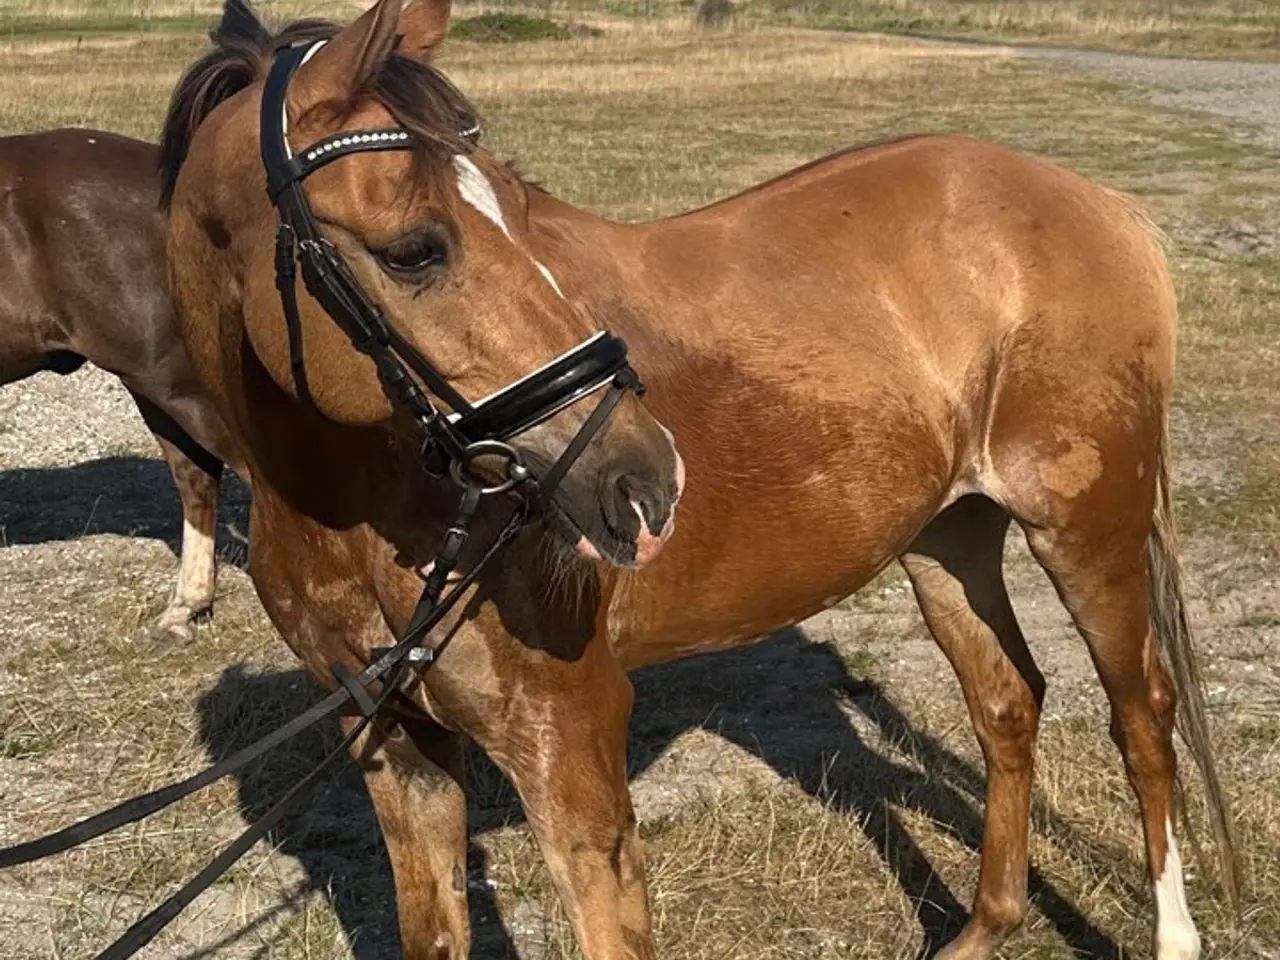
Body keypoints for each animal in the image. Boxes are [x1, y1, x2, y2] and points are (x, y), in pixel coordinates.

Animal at [159, 1, 1238, 958]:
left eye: (517, 206)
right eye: (415, 249)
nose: (642, 476)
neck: (365, 502)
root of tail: (1097, 203)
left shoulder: (570, 751)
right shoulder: (395, 746)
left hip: (1086, 533)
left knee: (1141, 715)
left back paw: (1172, 934)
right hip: (948, 540)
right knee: (1007, 700)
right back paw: (983, 930)